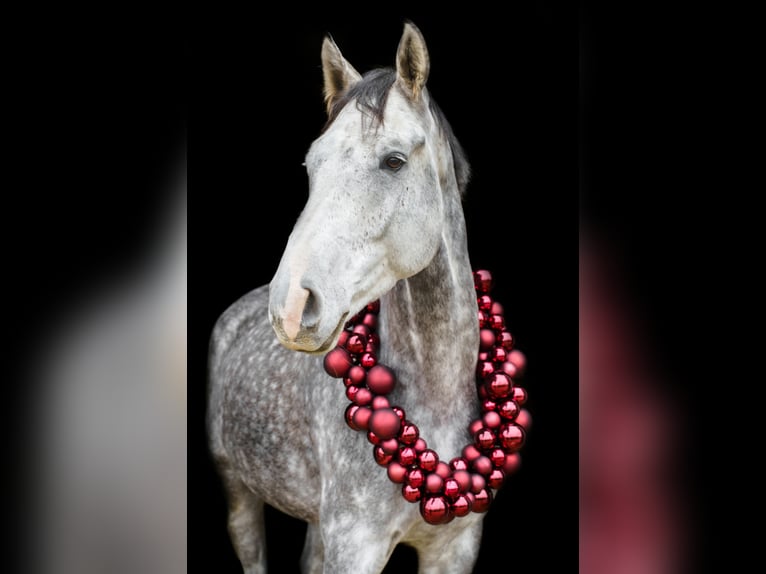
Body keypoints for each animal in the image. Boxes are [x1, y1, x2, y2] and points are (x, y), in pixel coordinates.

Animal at [208, 22, 496, 573]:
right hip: (240, 498)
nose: (291, 308)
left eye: (394, 161)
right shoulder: (355, 545)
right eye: (311, 164)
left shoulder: (455, 549)